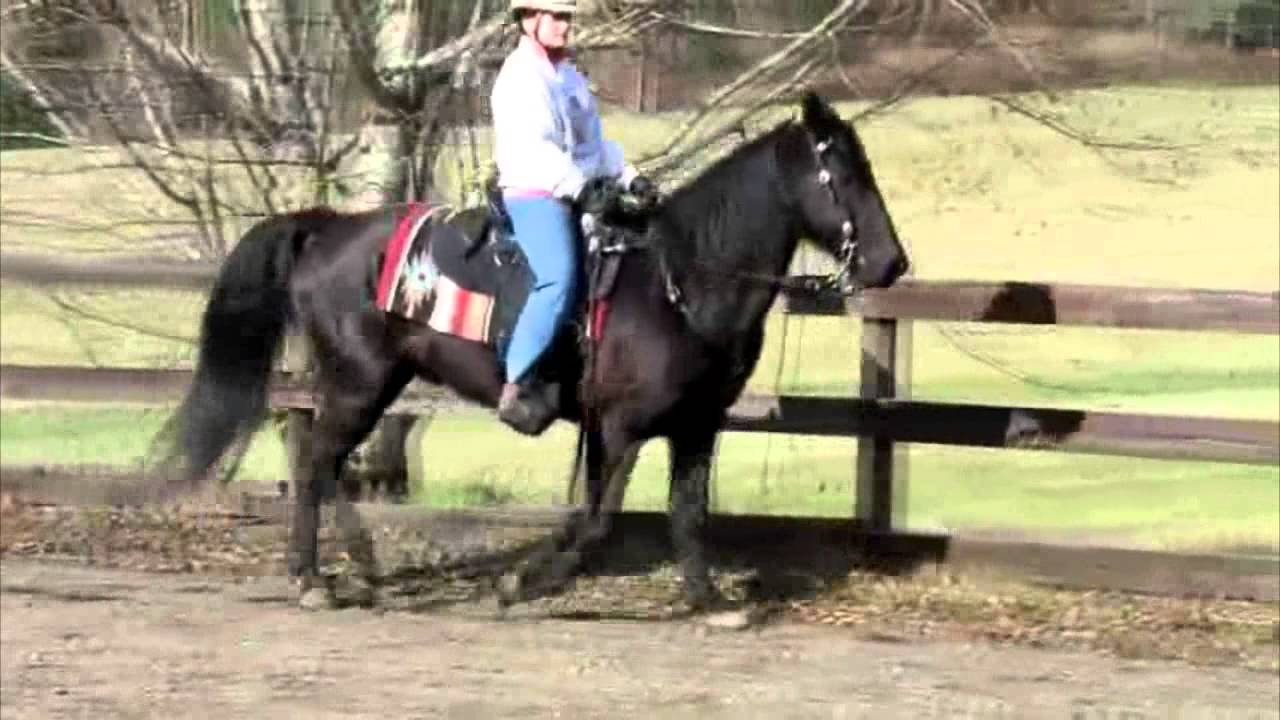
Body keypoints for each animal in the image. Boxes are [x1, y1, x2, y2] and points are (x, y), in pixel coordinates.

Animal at [150, 90, 910, 611]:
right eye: (842, 174)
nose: (891, 263)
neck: (678, 281)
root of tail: (326, 228)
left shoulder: (696, 424)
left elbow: (688, 511)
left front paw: (707, 600)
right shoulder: (619, 426)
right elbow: (598, 518)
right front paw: (524, 581)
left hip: (373, 382)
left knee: (322, 460)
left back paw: (356, 567)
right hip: (358, 382)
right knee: (315, 460)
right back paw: (315, 579)